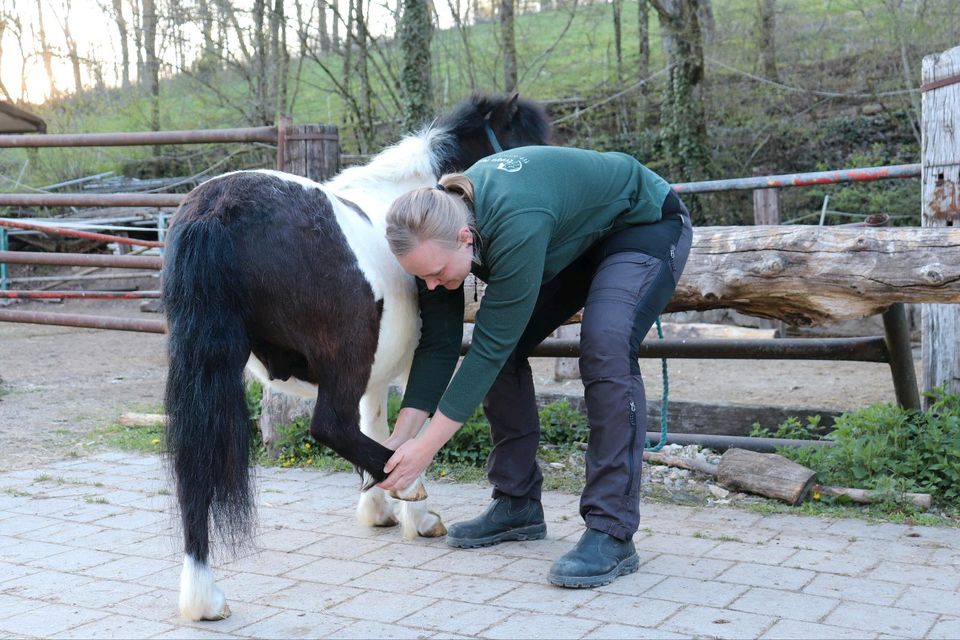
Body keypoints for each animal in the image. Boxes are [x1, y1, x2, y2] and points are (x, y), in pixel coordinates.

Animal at [162, 95, 552, 620]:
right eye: (528, 143)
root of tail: (218, 206)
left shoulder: (377, 372)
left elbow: (379, 422)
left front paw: (377, 510)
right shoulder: (410, 360)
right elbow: (407, 429)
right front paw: (413, 513)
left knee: (195, 470)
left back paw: (202, 596)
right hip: (344, 354)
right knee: (330, 425)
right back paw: (406, 487)